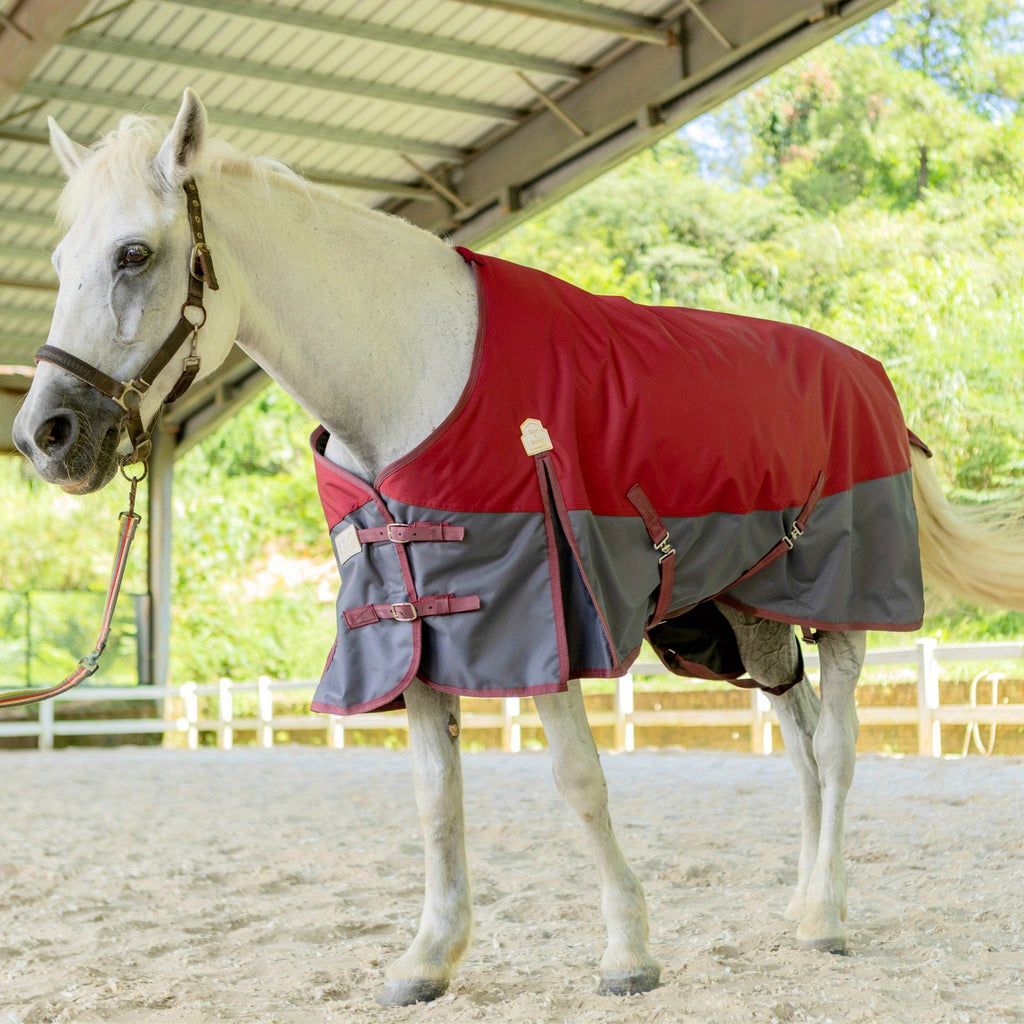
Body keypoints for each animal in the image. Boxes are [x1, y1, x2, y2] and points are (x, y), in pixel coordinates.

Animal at [13, 89, 1024, 1007]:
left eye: (135, 253)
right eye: (60, 259)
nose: (45, 436)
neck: (413, 373)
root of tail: (870, 377)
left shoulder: (541, 618)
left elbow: (579, 781)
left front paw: (627, 953)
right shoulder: (412, 629)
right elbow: (436, 799)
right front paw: (429, 958)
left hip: (838, 603)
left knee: (842, 747)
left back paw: (825, 919)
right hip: (753, 614)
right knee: (804, 745)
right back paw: (805, 902)